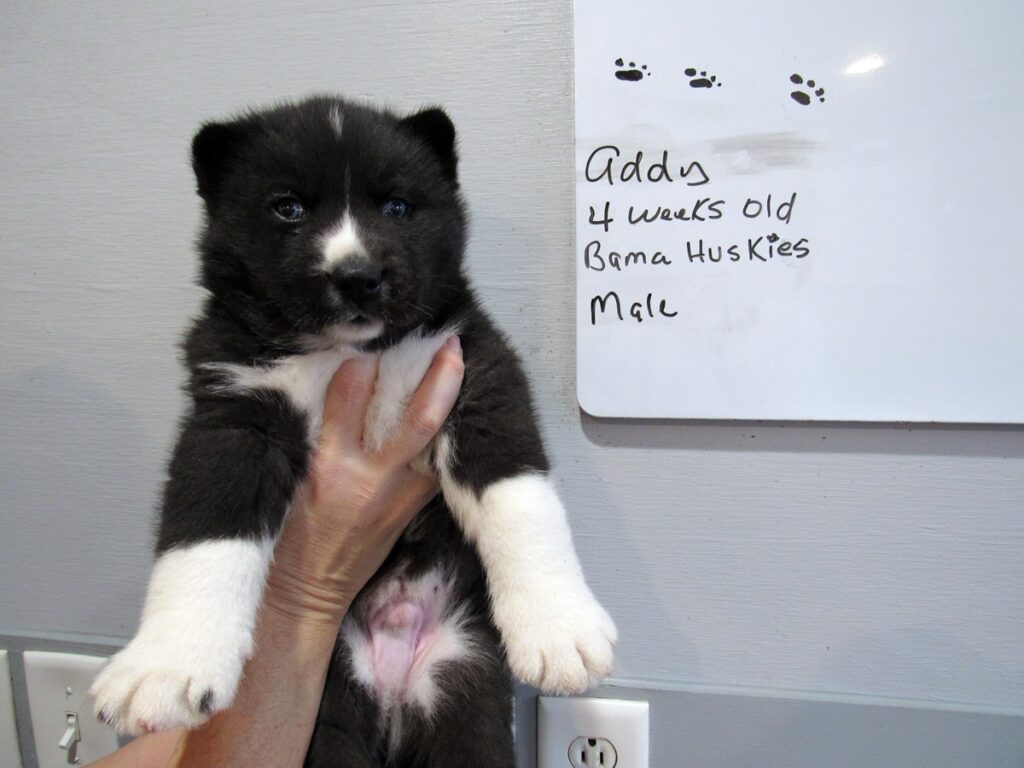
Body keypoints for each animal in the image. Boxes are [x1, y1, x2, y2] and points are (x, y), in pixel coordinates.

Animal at [90, 96, 616, 765]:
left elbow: (518, 495)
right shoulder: (234, 411)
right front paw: (165, 666)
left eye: (397, 206)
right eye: (288, 207)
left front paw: (558, 626)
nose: (358, 276)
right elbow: (205, 533)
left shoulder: (474, 372)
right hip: (333, 705)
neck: (348, 352)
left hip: (466, 688)